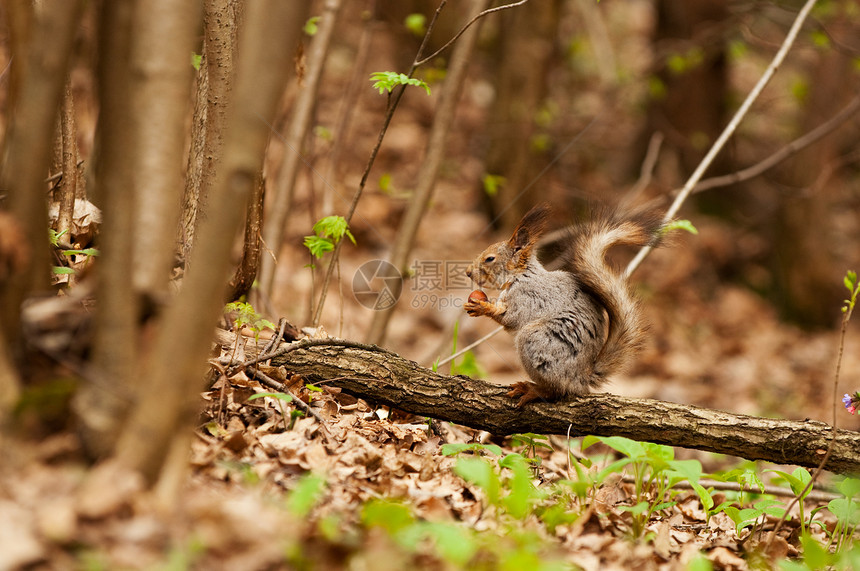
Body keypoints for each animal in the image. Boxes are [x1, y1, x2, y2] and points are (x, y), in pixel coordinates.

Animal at [464, 206, 664, 406]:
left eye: (490, 259)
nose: (467, 272)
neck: (520, 276)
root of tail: (581, 378)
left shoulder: (527, 298)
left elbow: (510, 319)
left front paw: (483, 307)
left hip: (537, 343)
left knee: (557, 390)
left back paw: (533, 390)